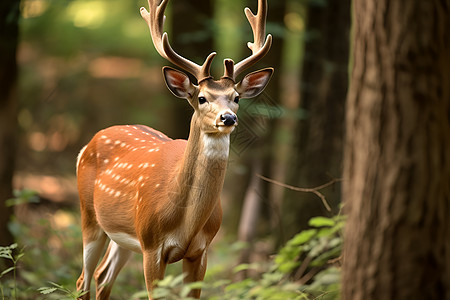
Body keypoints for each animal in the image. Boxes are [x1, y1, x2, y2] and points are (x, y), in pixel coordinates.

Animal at [75, 1, 272, 298]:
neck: (186, 223)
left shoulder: (201, 252)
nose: (228, 118)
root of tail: (87, 145)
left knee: (102, 275)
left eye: (236, 98)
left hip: (122, 236)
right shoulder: (151, 246)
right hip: (90, 216)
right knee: (82, 280)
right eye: (201, 98)